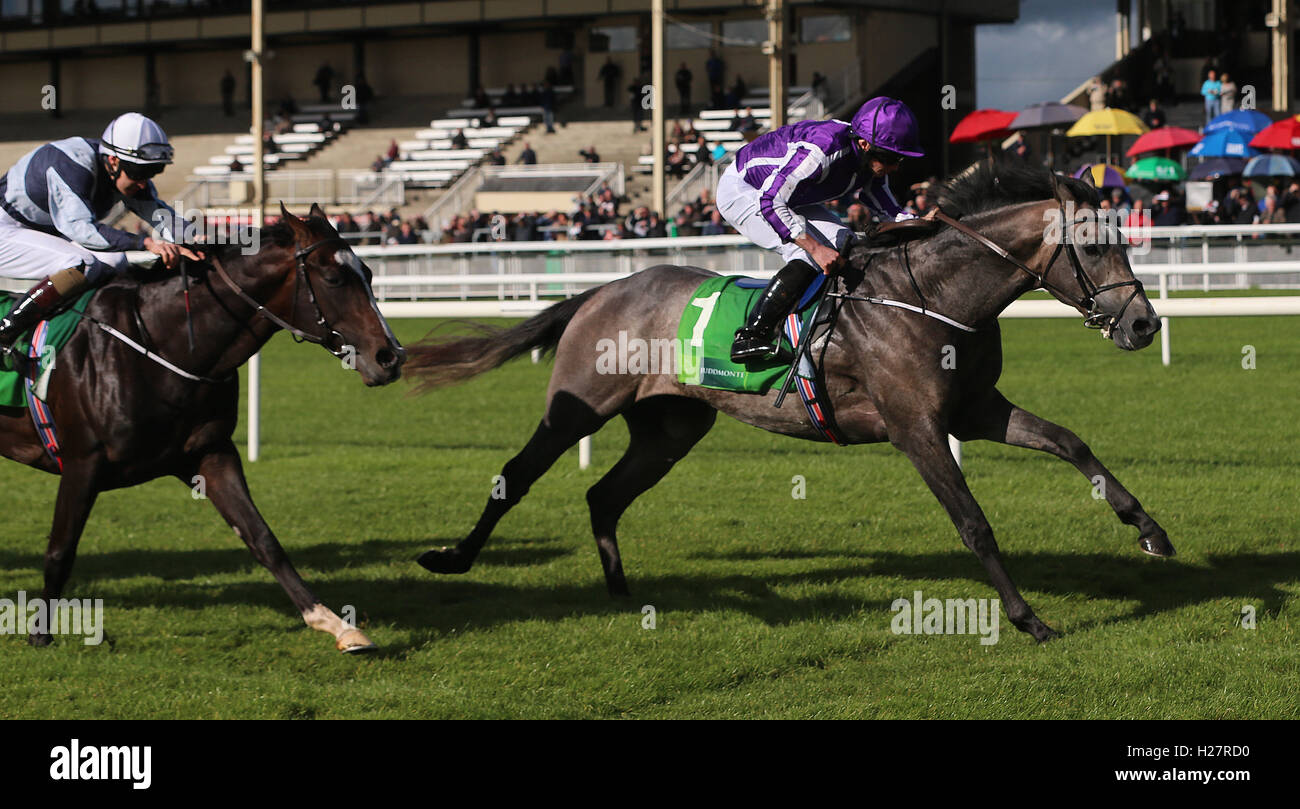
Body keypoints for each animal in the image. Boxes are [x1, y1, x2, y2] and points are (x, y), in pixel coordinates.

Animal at [0, 202, 403, 652]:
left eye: (368, 273)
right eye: (334, 278)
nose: (390, 356)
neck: (158, 345)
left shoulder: (209, 453)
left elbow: (263, 538)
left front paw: (336, 624)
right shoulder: (81, 464)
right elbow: (60, 551)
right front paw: (40, 635)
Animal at [403, 161, 1170, 642]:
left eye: (1126, 239)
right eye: (1093, 249)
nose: (1143, 324)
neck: (933, 297)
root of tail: (603, 289)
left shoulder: (974, 411)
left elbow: (1071, 441)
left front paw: (1149, 530)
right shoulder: (916, 428)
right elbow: (974, 523)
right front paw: (1026, 617)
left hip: (670, 428)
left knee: (604, 495)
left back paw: (622, 594)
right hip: (577, 407)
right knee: (518, 474)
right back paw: (453, 558)